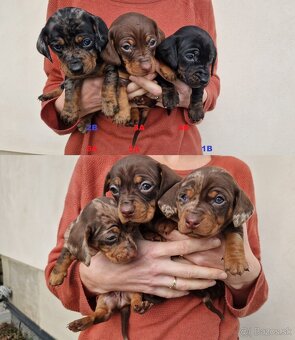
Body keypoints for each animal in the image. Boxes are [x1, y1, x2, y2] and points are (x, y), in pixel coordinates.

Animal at [49, 197, 150, 338]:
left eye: (132, 229)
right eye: (111, 237)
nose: (134, 254)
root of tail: (122, 302)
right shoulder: (70, 243)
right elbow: (63, 256)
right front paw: (55, 276)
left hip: (134, 289)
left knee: (136, 298)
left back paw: (140, 306)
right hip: (104, 301)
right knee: (99, 316)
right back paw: (81, 323)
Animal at [158, 167, 256, 318]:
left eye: (219, 199)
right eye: (183, 197)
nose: (191, 221)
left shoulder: (234, 224)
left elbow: (235, 236)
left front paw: (236, 261)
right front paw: (166, 222)